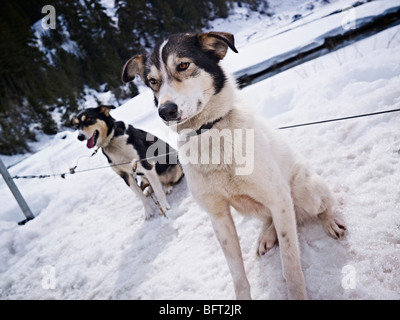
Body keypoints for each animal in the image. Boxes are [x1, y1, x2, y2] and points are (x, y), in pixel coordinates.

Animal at [120, 31, 346, 298]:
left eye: (183, 65)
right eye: (153, 81)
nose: (165, 111)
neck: (209, 131)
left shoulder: (278, 198)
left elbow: (290, 263)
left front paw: (297, 293)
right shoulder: (219, 217)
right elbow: (237, 274)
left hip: (304, 191)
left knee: (325, 204)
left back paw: (331, 221)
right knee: (270, 220)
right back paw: (267, 236)